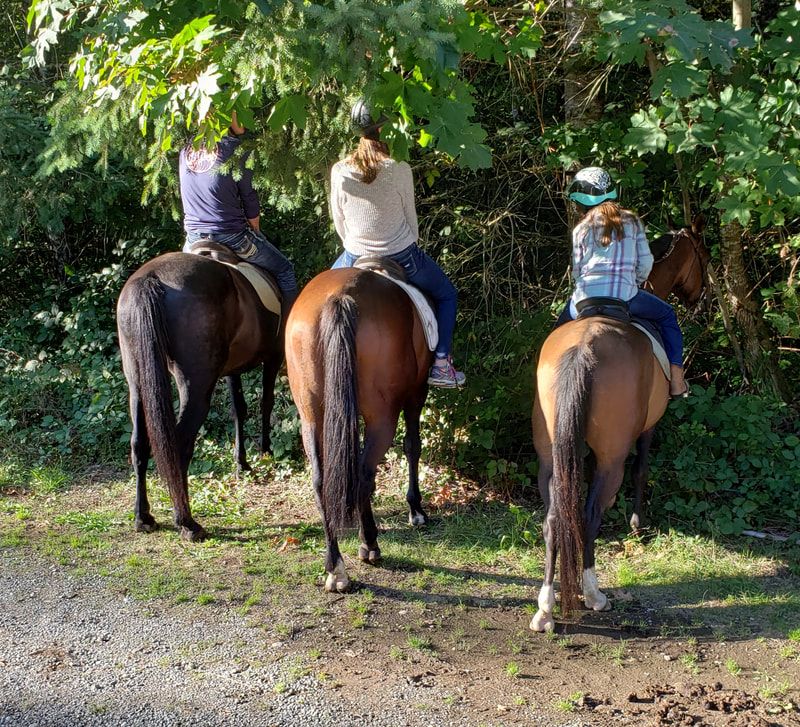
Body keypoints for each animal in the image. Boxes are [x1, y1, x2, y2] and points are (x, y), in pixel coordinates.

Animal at [116, 250, 282, 541]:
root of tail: (150, 278)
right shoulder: (274, 356)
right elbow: (266, 403)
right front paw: (265, 451)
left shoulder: (232, 368)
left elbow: (238, 409)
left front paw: (242, 464)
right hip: (196, 387)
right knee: (179, 445)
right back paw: (187, 522)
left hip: (136, 381)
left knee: (139, 443)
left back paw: (143, 517)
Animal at [285, 267, 432, 593]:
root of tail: (341, 296)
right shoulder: (416, 393)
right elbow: (412, 446)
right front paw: (415, 510)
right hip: (382, 417)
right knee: (364, 474)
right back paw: (369, 544)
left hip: (311, 417)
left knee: (321, 481)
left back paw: (335, 567)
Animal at [529, 219, 708, 632]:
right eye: (702, 257)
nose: (701, 296)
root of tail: (584, 347)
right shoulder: (648, 428)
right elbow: (642, 470)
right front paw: (637, 524)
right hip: (612, 457)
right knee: (589, 514)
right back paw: (593, 594)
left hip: (550, 454)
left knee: (554, 519)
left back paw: (545, 607)